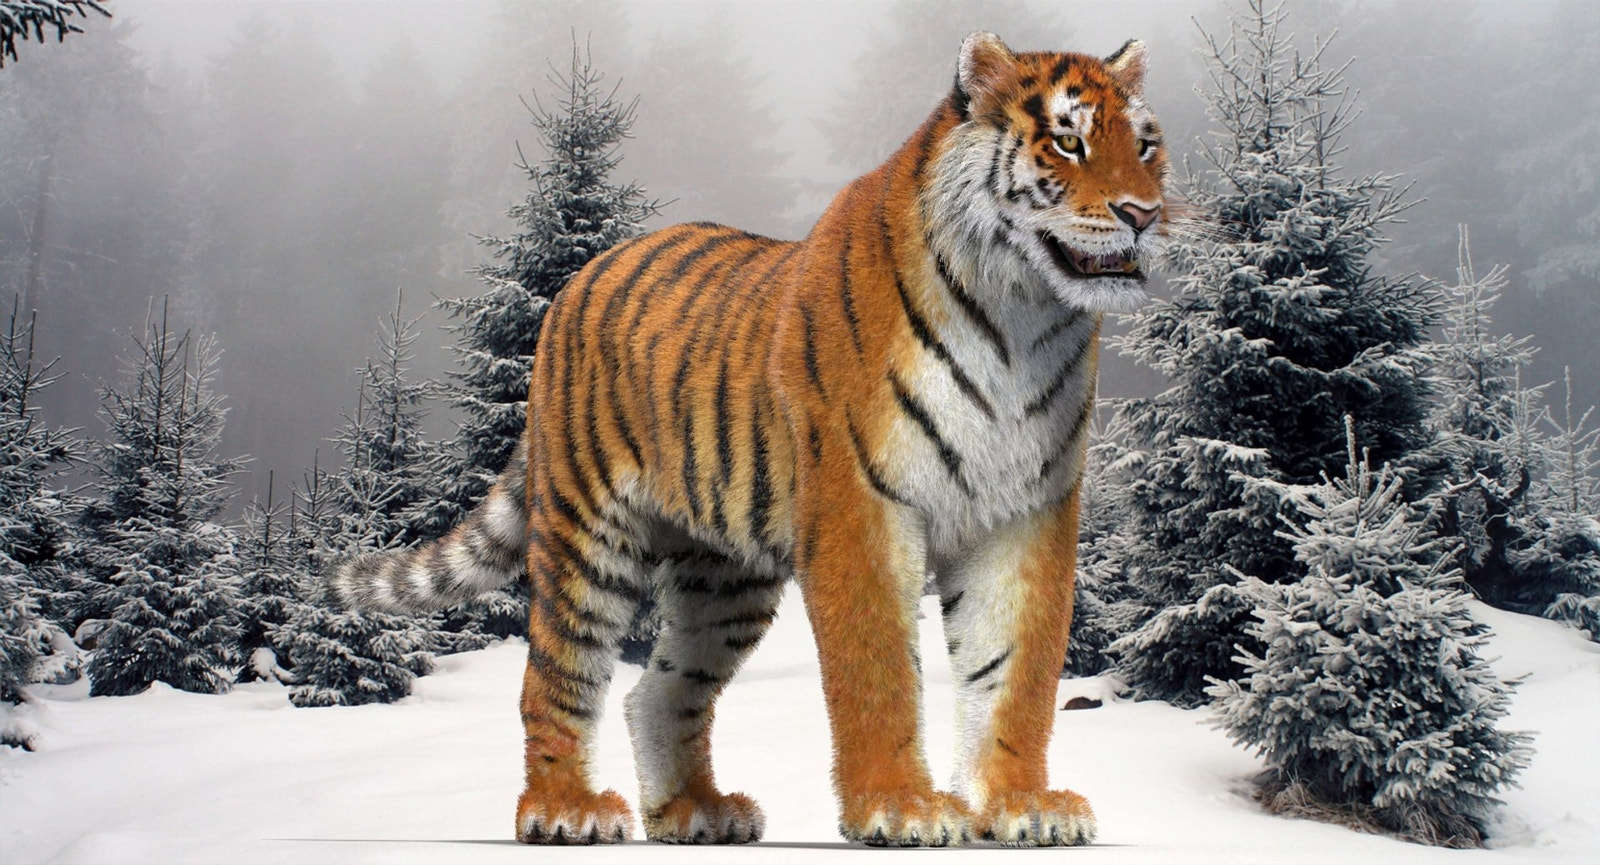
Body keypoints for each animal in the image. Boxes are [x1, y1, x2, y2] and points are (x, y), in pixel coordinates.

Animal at [333, 32, 1171, 847]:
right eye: (1067, 141)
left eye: (1145, 144)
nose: (1142, 212)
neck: (1019, 317)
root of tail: (578, 278)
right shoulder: (861, 505)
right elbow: (878, 668)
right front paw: (900, 807)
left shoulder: (1025, 511)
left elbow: (1016, 669)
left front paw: (1023, 804)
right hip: (586, 534)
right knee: (558, 678)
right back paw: (565, 809)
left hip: (722, 576)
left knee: (658, 689)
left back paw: (694, 812)